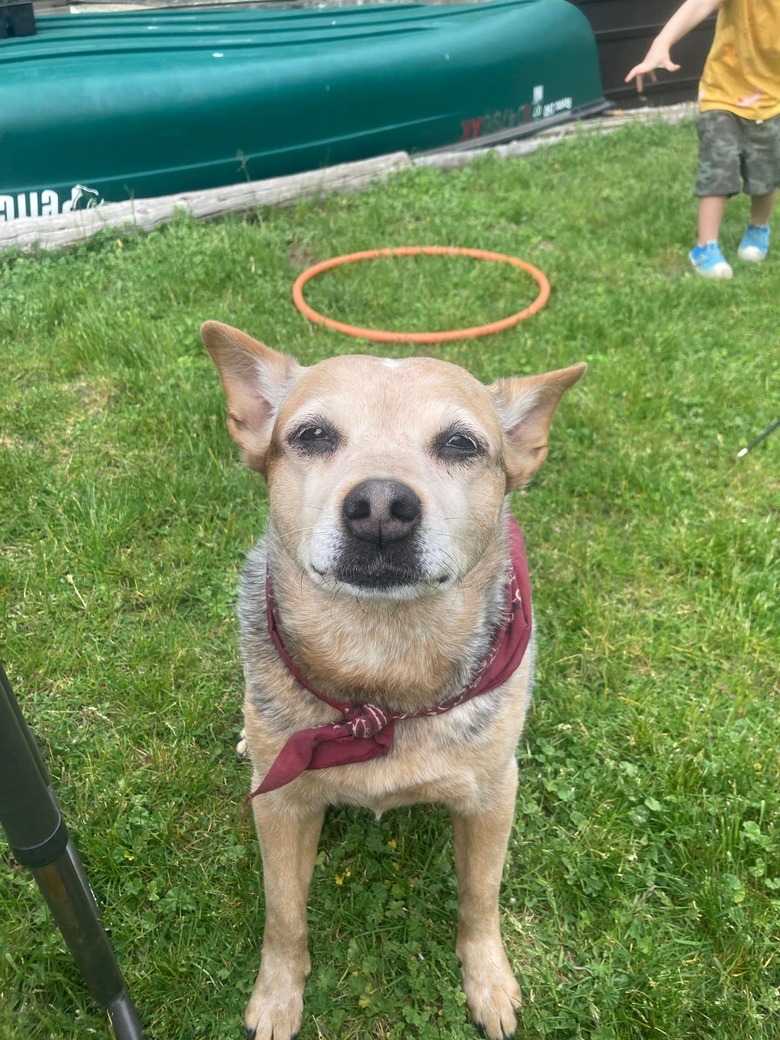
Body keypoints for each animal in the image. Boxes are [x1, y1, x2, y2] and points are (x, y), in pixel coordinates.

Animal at [201, 320, 586, 1035]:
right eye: (312, 435)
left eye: (460, 443)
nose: (380, 504)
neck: (381, 673)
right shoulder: (281, 805)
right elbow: (284, 914)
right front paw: (277, 995)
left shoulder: (493, 795)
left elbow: (480, 897)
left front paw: (488, 981)